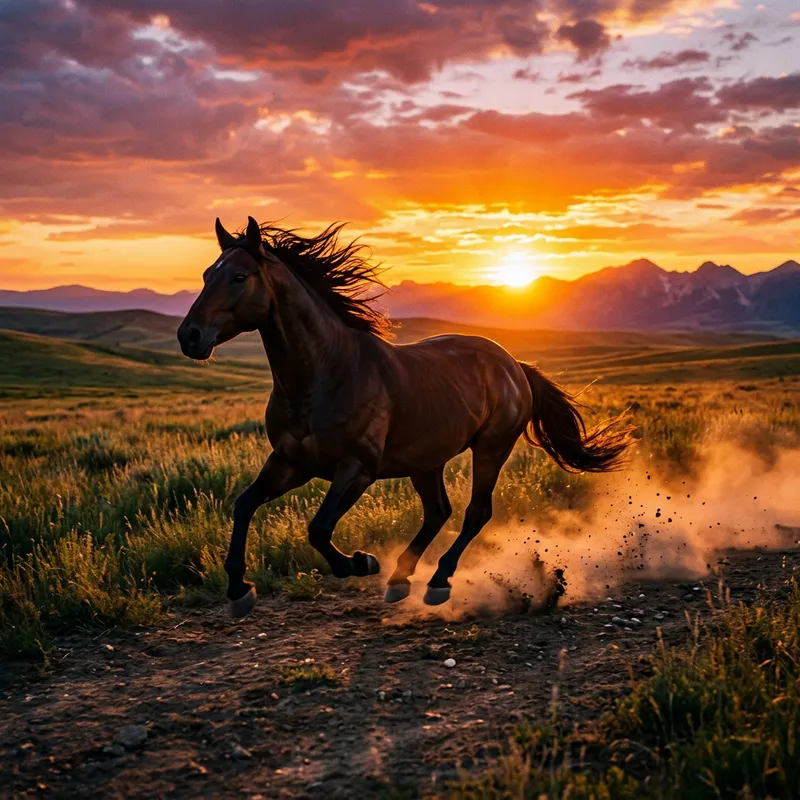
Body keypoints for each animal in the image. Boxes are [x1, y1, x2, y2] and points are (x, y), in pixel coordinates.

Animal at [178, 216, 631, 618]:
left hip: (491, 448)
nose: (189, 336)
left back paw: (437, 582)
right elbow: (244, 505)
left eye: (239, 276)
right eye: (206, 274)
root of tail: (513, 365)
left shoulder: (357, 468)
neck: (324, 374)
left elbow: (318, 529)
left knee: (475, 513)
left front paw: (361, 563)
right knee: (438, 512)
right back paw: (400, 579)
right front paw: (239, 590)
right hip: (425, 461)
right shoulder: (291, 464)